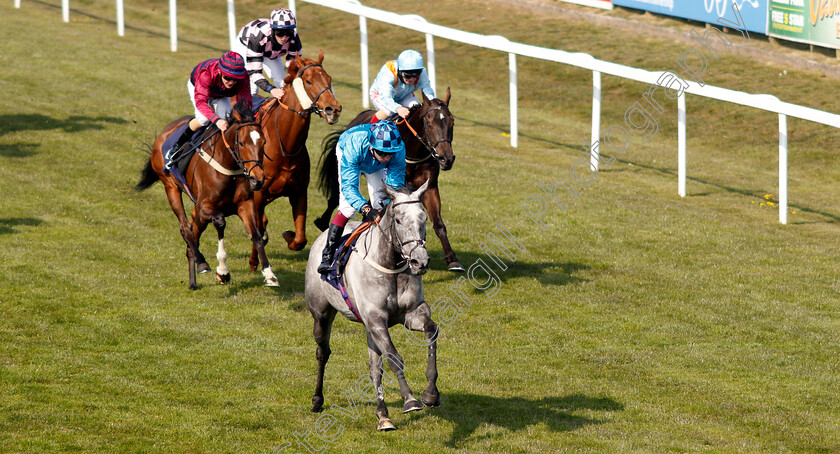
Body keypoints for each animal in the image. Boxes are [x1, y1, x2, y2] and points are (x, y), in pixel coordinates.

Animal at [134, 100, 272, 290]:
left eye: (263, 142)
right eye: (242, 143)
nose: (257, 179)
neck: (229, 167)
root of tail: (166, 130)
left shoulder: (244, 204)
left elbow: (257, 236)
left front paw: (269, 274)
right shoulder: (204, 206)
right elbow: (220, 222)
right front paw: (222, 271)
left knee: (193, 233)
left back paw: (193, 280)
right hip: (170, 186)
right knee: (186, 228)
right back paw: (201, 263)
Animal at [246, 51, 342, 272]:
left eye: (329, 79)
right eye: (309, 81)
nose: (333, 109)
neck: (285, 147)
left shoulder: (299, 192)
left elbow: (299, 239)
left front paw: (288, 235)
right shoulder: (258, 194)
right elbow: (257, 229)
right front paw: (255, 261)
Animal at [306, 180, 442, 430]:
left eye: (424, 218)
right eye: (398, 220)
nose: (420, 261)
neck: (390, 263)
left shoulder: (411, 314)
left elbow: (431, 331)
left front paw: (431, 394)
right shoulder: (376, 319)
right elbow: (394, 357)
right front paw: (410, 400)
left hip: (368, 327)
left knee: (374, 368)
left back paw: (383, 416)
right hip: (321, 314)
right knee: (322, 352)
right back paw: (317, 400)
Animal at [316, 90, 462, 272]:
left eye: (452, 122)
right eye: (429, 124)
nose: (446, 159)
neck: (414, 152)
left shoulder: (430, 188)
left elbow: (439, 223)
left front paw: (452, 259)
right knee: (337, 198)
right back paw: (323, 223)